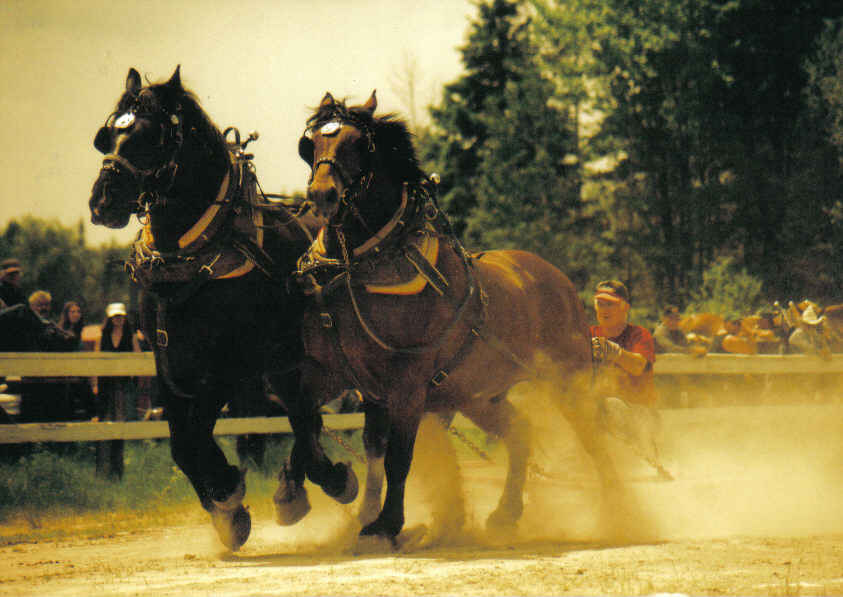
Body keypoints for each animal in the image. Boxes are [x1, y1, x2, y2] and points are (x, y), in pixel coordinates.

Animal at [88, 68, 326, 548]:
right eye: (108, 137)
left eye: (150, 137)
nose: (102, 200)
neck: (193, 255)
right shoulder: (168, 364)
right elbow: (182, 442)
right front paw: (224, 506)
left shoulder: (231, 367)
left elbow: (196, 432)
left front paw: (228, 495)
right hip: (286, 366)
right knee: (304, 414)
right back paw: (301, 486)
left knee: (314, 416)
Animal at [276, 92, 612, 540]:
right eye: (310, 143)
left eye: (358, 144)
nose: (322, 194)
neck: (362, 268)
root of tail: (557, 279)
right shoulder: (342, 377)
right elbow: (306, 422)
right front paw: (316, 491)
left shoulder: (407, 386)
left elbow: (398, 458)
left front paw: (386, 524)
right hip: (477, 394)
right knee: (521, 432)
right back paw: (505, 512)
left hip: (566, 382)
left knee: (594, 441)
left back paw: (621, 512)